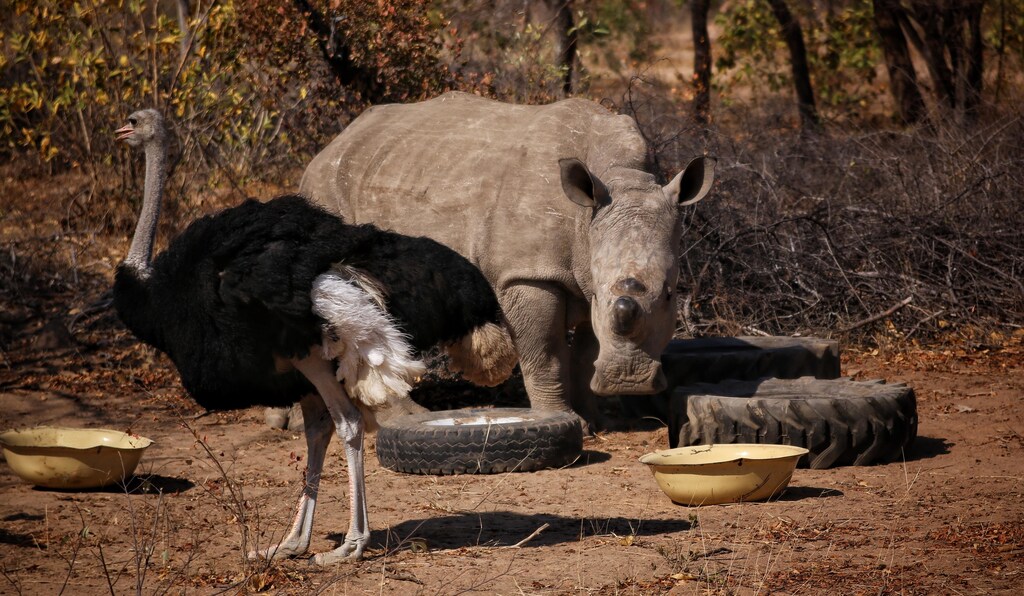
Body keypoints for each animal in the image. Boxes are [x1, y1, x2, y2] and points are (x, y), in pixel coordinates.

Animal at [300, 92, 715, 426]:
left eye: (670, 294)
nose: (629, 380)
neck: (621, 177)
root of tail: (331, 144)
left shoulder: (583, 272)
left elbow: (585, 355)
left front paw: (598, 421)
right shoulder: (528, 274)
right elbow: (544, 354)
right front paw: (566, 422)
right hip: (329, 188)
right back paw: (408, 419)